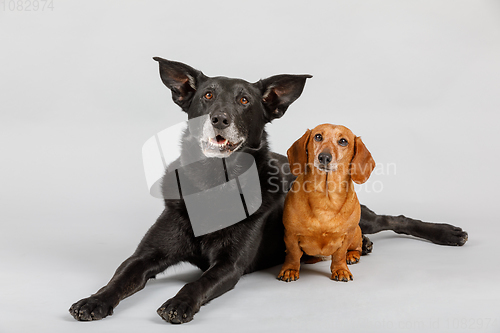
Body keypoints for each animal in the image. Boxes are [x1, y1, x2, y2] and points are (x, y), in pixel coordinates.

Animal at [69, 58, 468, 322]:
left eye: (245, 100)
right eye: (207, 96)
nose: (219, 119)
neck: (215, 182)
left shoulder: (230, 265)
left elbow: (199, 282)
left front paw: (178, 303)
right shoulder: (146, 255)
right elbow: (121, 275)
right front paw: (94, 300)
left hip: (365, 214)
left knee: (391, 218)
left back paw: (447, 233)